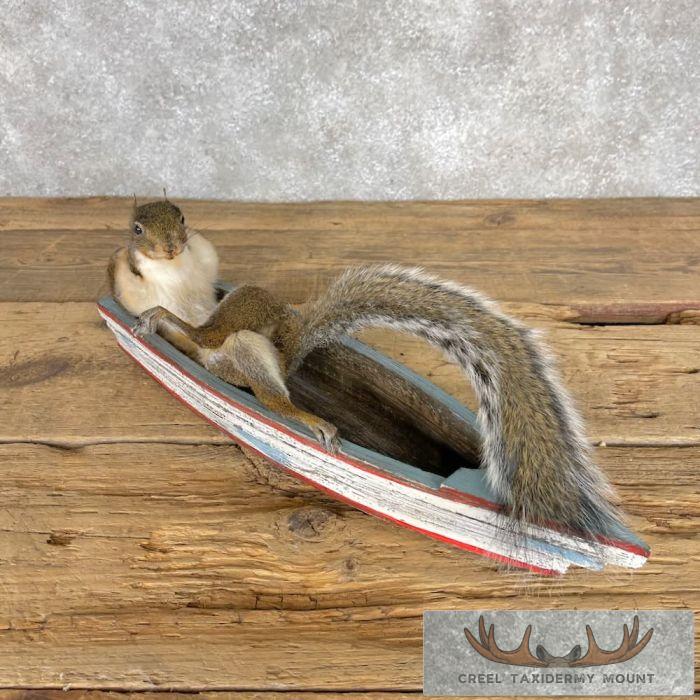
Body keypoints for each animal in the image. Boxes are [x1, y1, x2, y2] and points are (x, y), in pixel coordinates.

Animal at [108, 198, 623, 537]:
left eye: (182, 217)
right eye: (136, 229)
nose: (172, 245)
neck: (173, 271)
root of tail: (291, 350)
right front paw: (150, 309)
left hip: (245, 335)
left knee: (235, 345)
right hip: (231, 357)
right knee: (231, 360)